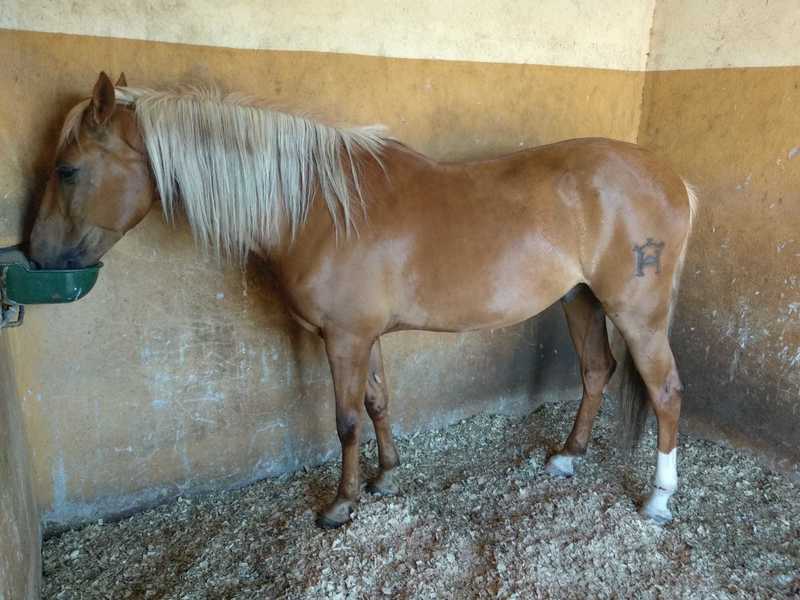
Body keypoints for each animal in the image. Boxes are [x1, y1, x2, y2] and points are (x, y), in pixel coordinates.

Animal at [29, 72, 696, 528]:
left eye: (67, 170)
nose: (37, 255)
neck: (317, 207)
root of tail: (670, 177)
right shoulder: (365, 336)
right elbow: (378, 402)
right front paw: (386, 477)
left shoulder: (345, 338)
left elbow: (346, 419)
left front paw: (340, 503)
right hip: (581, 300)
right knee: (596, 371)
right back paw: (567, 458)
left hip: (636, 313)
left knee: (664, 391)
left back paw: (658, 499)